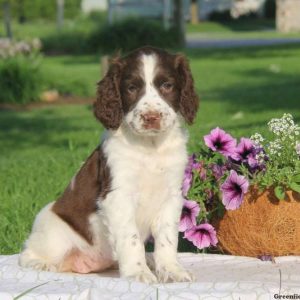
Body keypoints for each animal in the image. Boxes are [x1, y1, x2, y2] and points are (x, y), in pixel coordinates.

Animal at [18, 45, 199, 282]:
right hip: (52, 230)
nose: (151, 117)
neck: (150, 147)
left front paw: (172, 270)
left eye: (167, 85)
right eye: (131, 88)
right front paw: (138, 273)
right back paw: (41, 264)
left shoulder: (171, 196)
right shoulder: (117, 195)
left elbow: (167, 239)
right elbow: (130, 238)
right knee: (27, 253)